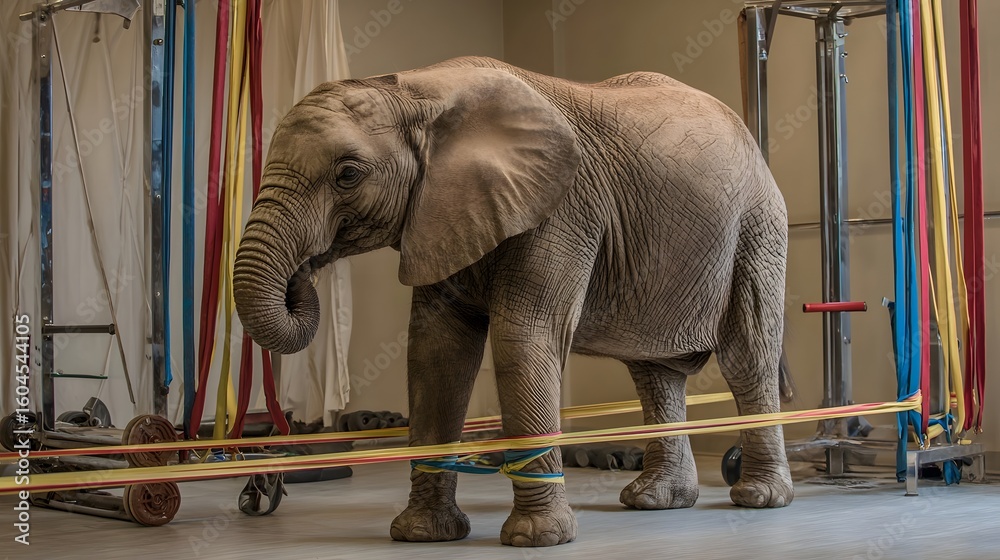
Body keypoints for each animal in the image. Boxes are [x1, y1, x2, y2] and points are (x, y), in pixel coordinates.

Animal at [233, 56, 793, 547]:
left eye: (348, 174)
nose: (305, 270)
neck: (415, 90)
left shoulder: (563, 209)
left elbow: (523, 338)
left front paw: (536, 539)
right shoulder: (442, 215)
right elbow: (435, 355)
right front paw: (422, 535)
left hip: (758, 226)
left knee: (747, 355)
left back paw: (759, 498)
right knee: (654, 371)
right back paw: (655, 501)